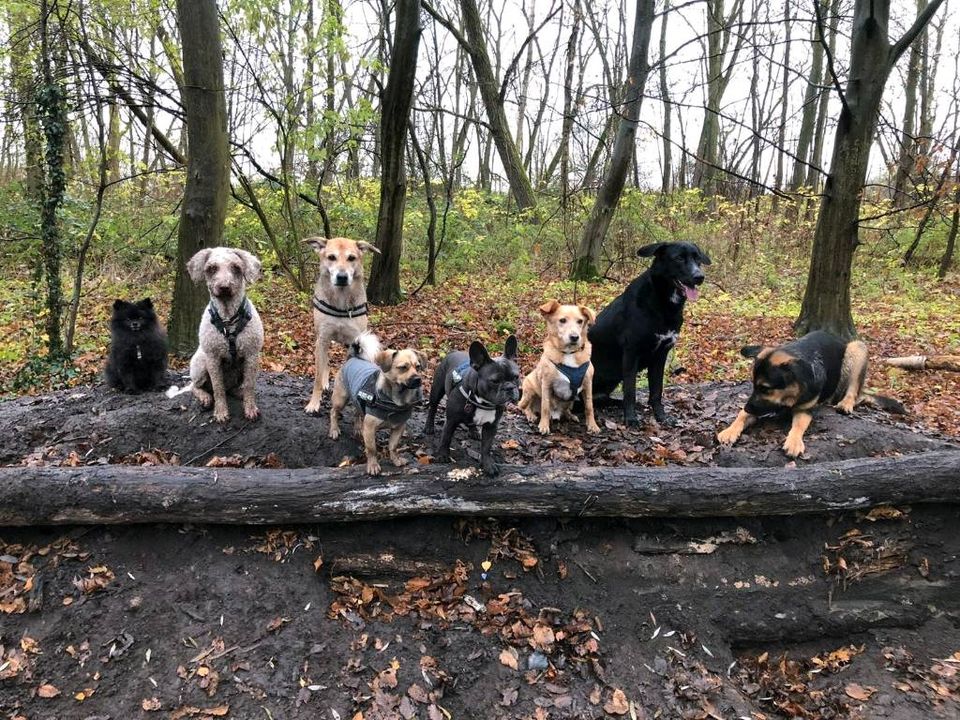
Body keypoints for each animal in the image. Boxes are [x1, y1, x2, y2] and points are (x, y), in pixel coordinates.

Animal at [170, 246, 264, 422]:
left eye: (236, 267)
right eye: (211, 268)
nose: (224, 287)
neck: (228, 320)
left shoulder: (251, 356)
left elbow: (249, 385)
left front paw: (250, 408)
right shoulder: (213, 359)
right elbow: (217, 387)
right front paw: (221, 412)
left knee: (233, 388)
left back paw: (238, 392)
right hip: (200, 364)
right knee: (196, 387)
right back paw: (205, 397)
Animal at [308, 236, 382, 414]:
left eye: (352, 258)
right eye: (331, 257)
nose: (342, 277)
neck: (341, 303)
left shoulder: (354, 340)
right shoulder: (323, 339)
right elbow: (318, 377)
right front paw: (314, 403)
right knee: (325, 362)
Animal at [588, 242, 708, 424]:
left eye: (697, 258)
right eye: (679, 258)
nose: (699, 276)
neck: (663, 304)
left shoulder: (661, 355)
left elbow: (657, 391)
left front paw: (661, 416)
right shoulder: (631, 353)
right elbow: (630, 391)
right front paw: (630, 418)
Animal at [716, 330, 872, 458]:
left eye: (765, 389)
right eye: (754, 386)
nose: (747, 407)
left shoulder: (804, 410)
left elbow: (798, 425)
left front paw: (794, 442)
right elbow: (741, 415)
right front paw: (730, 431)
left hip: (857, 348)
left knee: (853, 389)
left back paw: (846, 404)